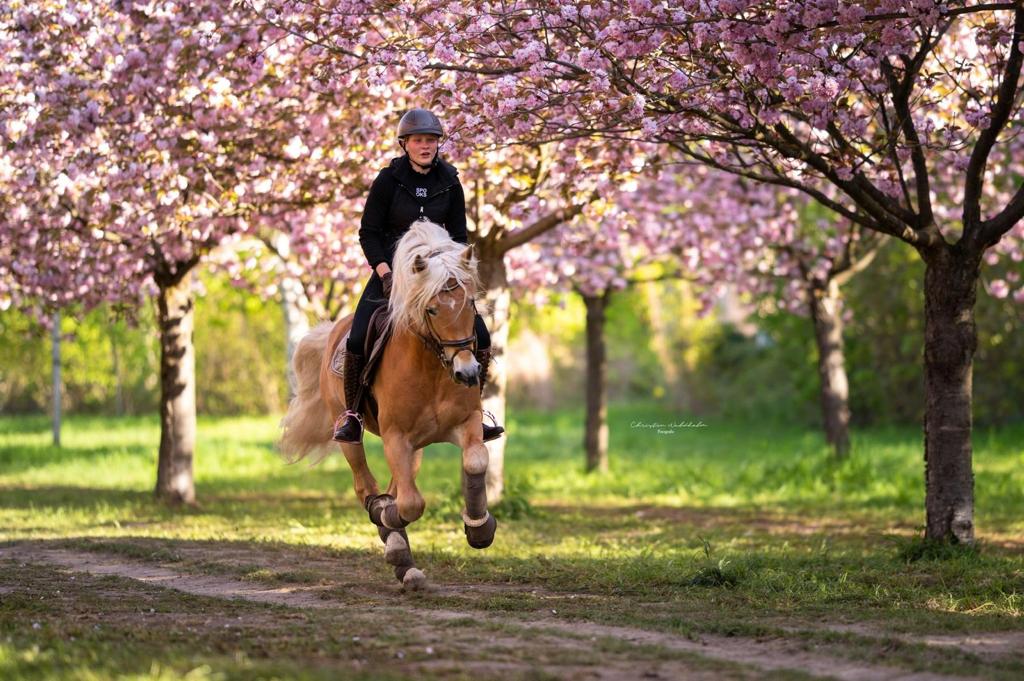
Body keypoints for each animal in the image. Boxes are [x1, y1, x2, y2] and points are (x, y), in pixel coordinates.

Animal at [280, 220, 499, 585]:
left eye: (469, 305)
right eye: (432, 309)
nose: (467, 373)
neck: (432, 370)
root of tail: (335, 329)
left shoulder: (466, 425)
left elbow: (475, 463)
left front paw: (479, 528)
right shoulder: (396, 437)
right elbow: (410, 504)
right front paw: (387, 519)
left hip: (417, 448)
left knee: (395, 485)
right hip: (350, 434)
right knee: (366, 486)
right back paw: (394, 542)